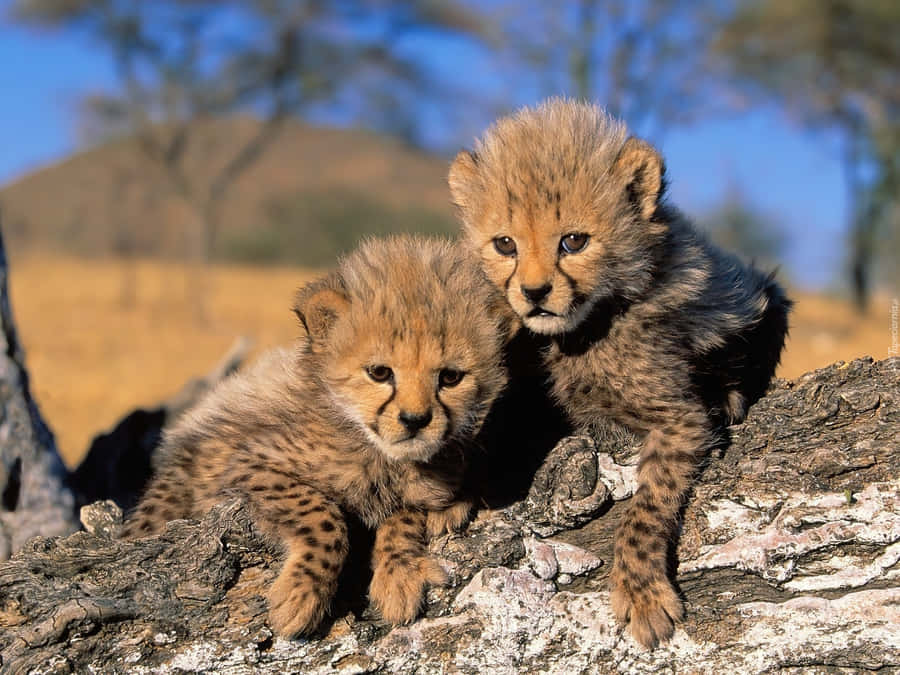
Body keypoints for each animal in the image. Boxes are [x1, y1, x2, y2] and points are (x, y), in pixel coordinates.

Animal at [122, 235, 513, 638]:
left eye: (450, 377)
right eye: (379, 372)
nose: (415, 420)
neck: (374, 449)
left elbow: (405, 514)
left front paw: (399, 575)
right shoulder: (250, 465)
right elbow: (323, 514)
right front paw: (300, 594)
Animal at [448, 98, 791, 648]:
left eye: (573, 241)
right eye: (505, 244)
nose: (534, 293)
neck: (583, 331)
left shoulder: (679, 419)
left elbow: (644, 509)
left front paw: (641, 592)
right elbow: (494, 429)